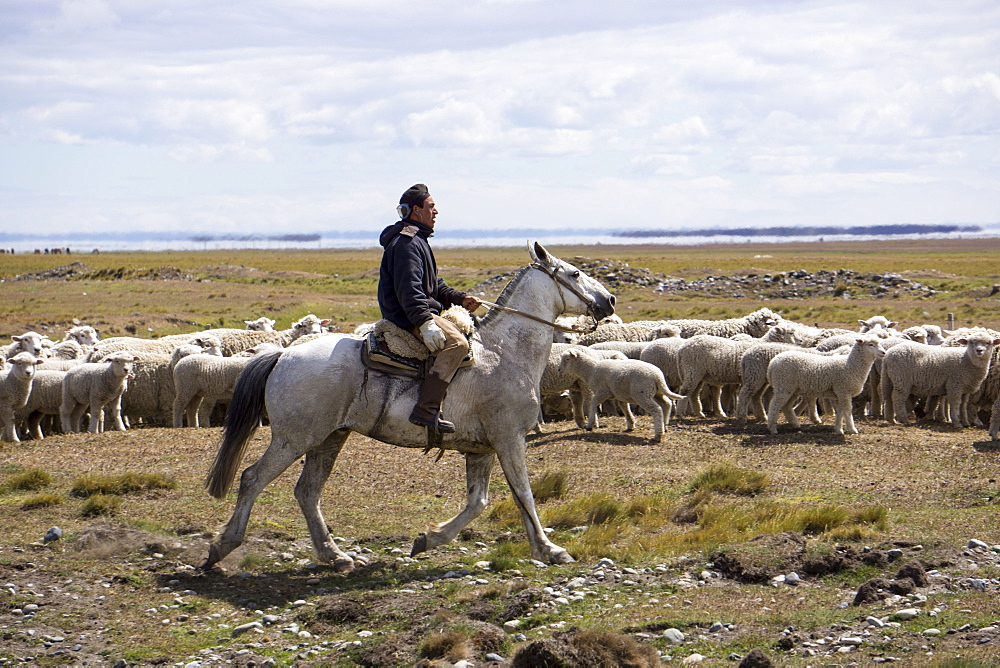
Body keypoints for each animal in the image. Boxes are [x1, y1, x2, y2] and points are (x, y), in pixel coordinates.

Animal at [201, 243, 616, 572]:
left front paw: (428, 539)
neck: (505, 352)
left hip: (330, 437)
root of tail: (282, 355)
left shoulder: (480, 449)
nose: (609, 301)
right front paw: (550, 550)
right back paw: (222, 547)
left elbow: (478, 502)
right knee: (253, 478)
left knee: (307, 492)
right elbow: (523, 493)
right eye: (575, 273)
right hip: (295, 438)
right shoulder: (508, 438)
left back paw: (335, 556)